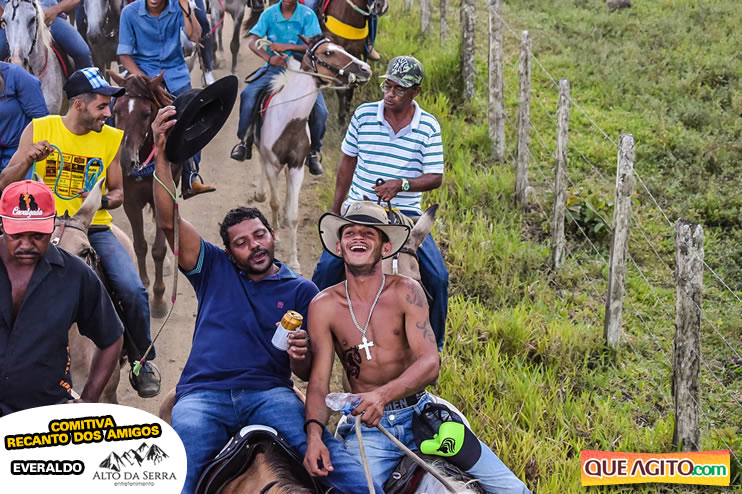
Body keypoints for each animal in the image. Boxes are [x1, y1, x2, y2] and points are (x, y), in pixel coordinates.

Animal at [108, 70, 180, 318]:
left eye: (146, 113)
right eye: (116, 110)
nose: (125, 160)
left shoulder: (162, 197)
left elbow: (158, 249)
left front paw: (158, 299)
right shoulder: (130, 202)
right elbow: (139, 245)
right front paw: (144, 284)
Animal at [252, 34, 370, 273]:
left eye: (341, 47)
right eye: (327, 52)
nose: (365, 68)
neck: (289, 120)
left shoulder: (297, 167)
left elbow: (293, 215)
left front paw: (294, 262)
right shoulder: (272, 165)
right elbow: (274, 203)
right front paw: (275, 238)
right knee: (260, 163)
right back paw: (260, 193)